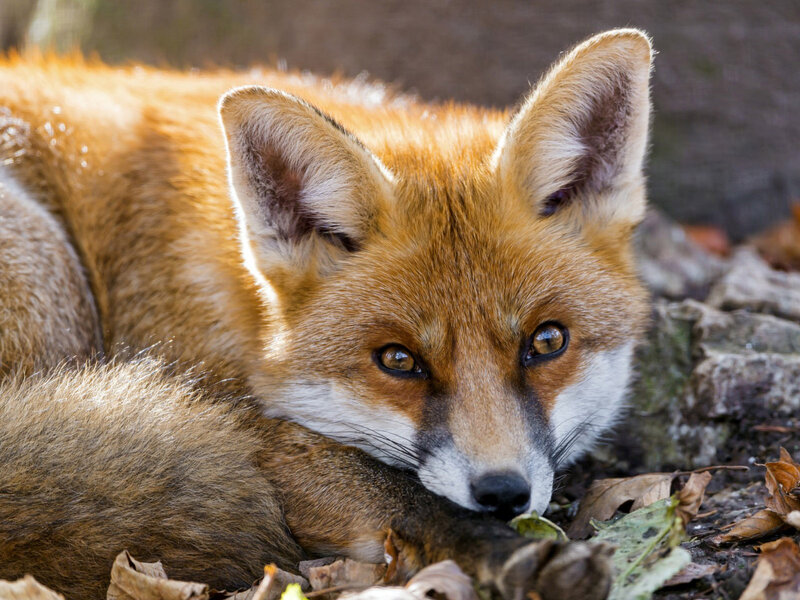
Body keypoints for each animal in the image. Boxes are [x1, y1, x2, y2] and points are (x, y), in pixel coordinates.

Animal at [0, 29, 652, 600]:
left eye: (546, 342)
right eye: (398, 360)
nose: (501, 493)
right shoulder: (243, 421)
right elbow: (402, 494)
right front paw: (518, 557)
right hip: (54, 279)